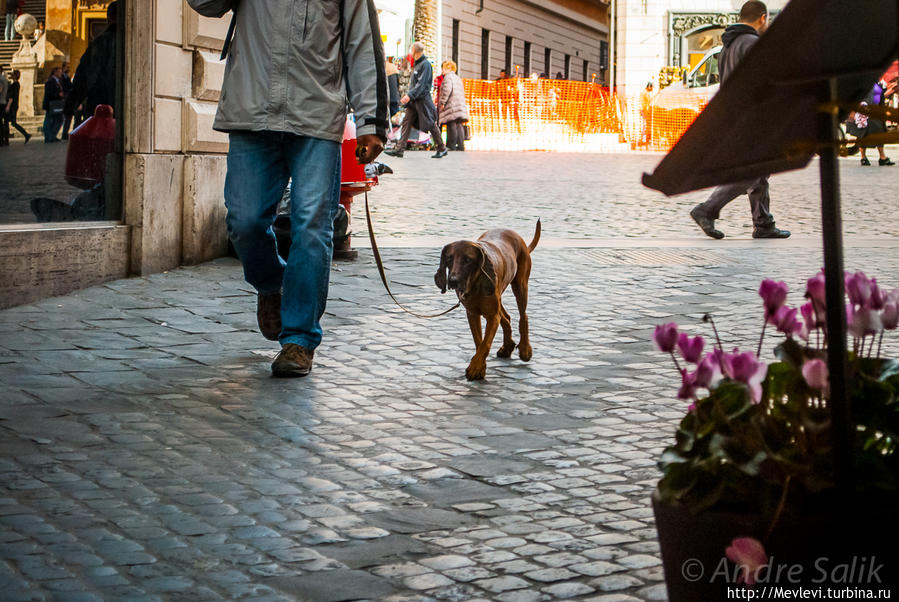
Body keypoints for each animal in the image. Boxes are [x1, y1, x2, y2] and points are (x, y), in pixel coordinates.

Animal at [436, 220, 540, 380]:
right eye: (449, 258)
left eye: (468, 259)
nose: (453, 281)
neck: (475, 284)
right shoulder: (473, 313)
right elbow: (479, 342)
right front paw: (480, 366)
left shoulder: (491, 315)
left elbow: (486, 343)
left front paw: (475, 368)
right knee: (506, 317)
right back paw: (507, 346)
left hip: (520, 286)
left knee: (523, 316)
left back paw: (524, 349)